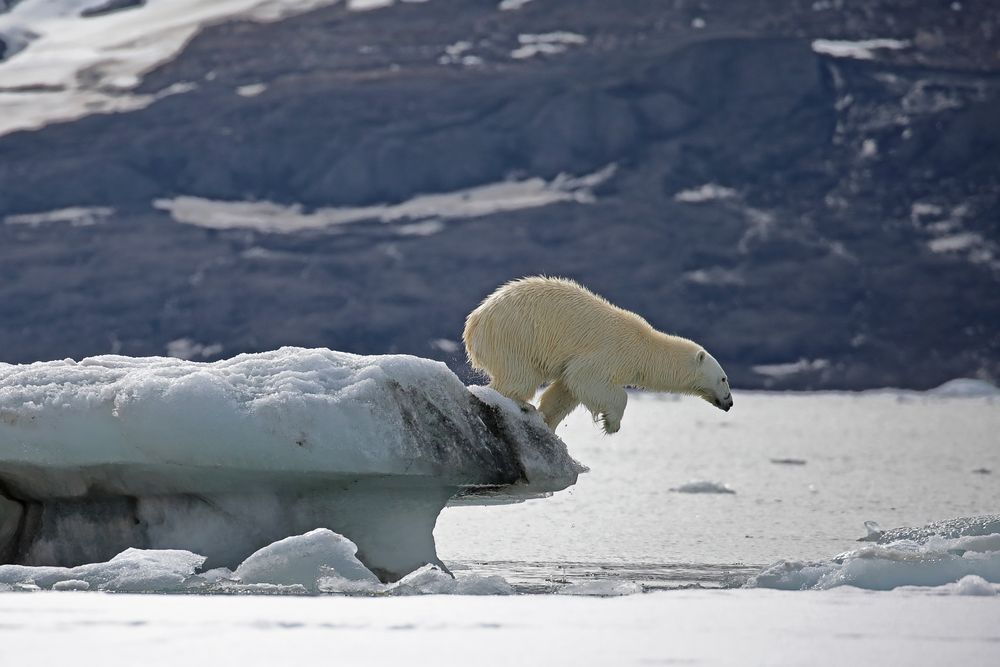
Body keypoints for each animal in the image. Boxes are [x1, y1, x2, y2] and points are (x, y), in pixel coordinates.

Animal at [462, 276, 736, 434]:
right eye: (724, 378)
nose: (730, 403)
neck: (644, 346)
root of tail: (475, 322)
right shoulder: (609, 353)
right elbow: (587, 379)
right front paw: (611, 423)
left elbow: (565, 389)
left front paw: (548, 421)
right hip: (516, 336)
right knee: (519, 377)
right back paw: (517, 402)